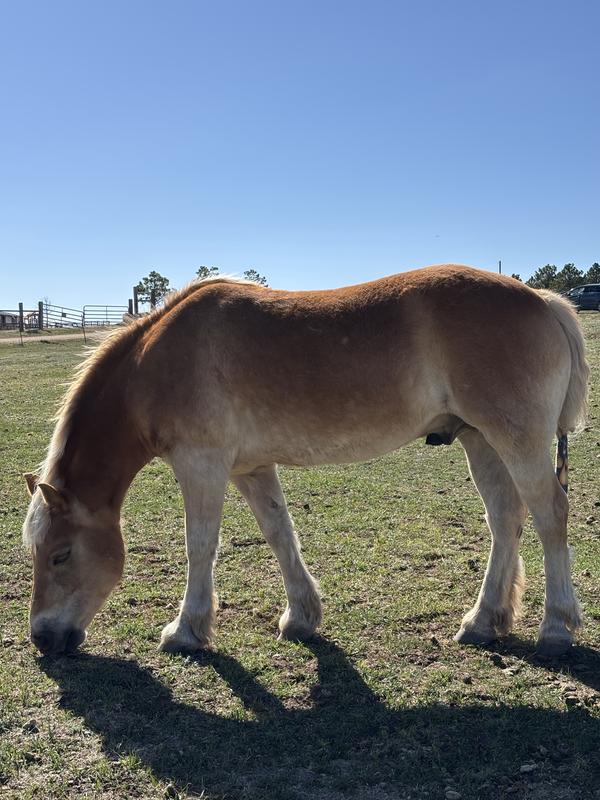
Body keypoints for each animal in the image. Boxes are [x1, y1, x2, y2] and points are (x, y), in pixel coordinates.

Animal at [22, 264, 588, 658]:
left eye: (61, 556)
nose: (42, 639)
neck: (156, 363)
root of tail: (542, 301)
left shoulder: (201, 464)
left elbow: (200, 546)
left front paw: (185, 630)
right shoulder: (249, 467)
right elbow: (279, 534)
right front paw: (301, 617)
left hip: (518, 441)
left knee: (550, 516)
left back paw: (556, 627)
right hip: (482, 441)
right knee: (506, 519)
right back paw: (483, 620)